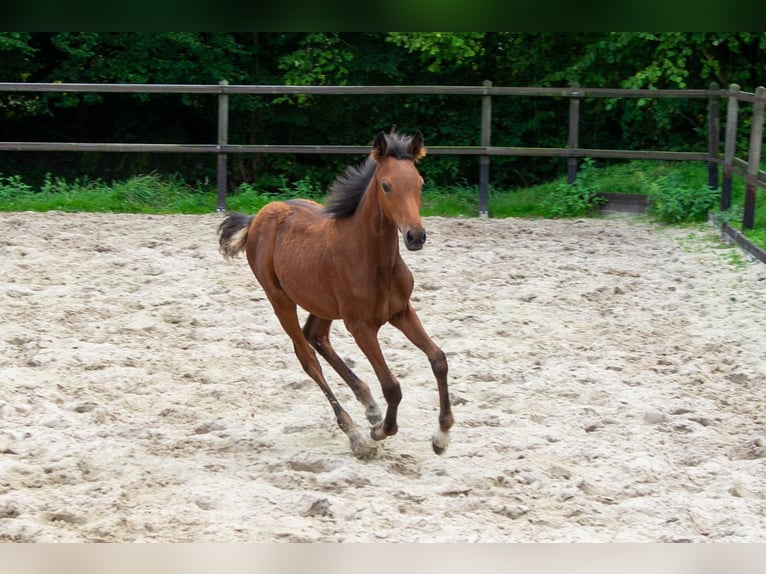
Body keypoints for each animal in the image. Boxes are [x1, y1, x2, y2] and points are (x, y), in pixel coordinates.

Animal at [219, 129, 452, 460]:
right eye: (386, 186)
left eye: (419, 183)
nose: (415, 236)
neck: (375, 261)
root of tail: (256, 219)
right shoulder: (360, 326)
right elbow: (392, 386)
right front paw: (379, 431)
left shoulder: (401, 311)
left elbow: (438, 360)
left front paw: (441, 436)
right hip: (281, 300)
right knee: (307, 357)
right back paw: (354, 432)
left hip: (323, 303)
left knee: (315, 334)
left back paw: (368, 404)